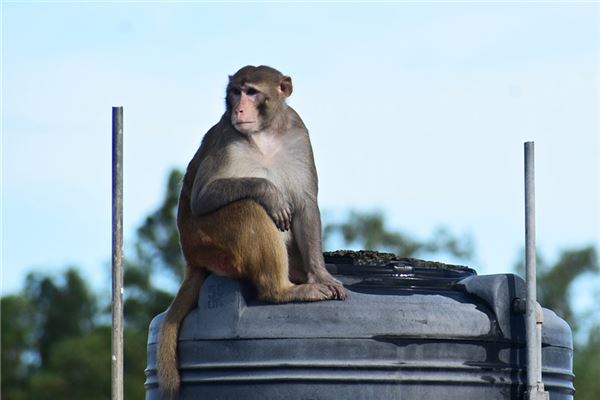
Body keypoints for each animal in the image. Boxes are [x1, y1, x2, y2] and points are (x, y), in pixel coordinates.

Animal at [156, 65, 346, 394]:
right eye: (235, 92)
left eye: (252, 92)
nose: (239, 109)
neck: (265, 134)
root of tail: (192, 257)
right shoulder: (228, 139)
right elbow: (203, 197)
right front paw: (270, 193)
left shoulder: (298, 135)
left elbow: (305, 205)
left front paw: (321, 274)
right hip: (212, 246)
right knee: (248, 209)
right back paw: (281, 291)